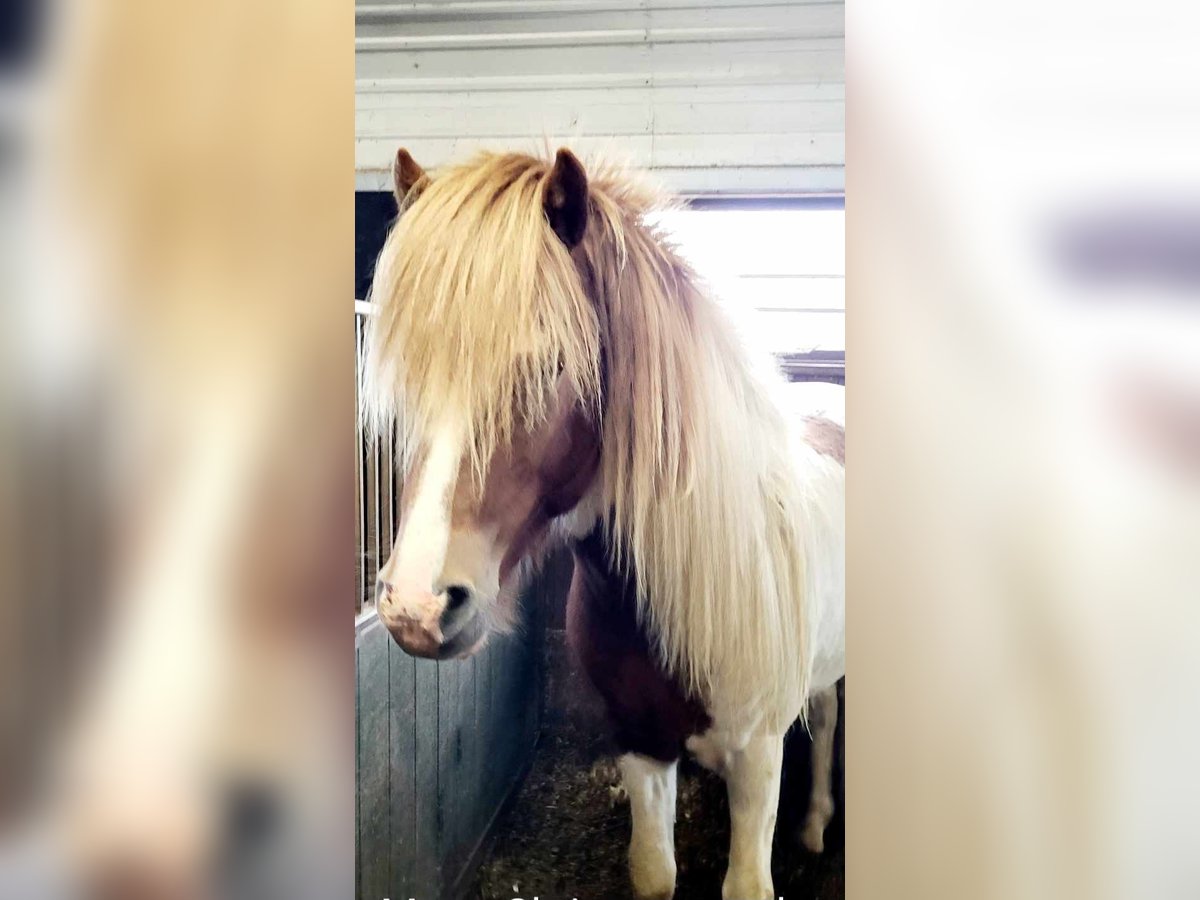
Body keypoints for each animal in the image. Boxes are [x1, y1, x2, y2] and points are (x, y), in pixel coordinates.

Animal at [360, 146, 849, 900]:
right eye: (408, 374)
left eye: (552, 363)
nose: (417, 606)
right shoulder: (639, 742)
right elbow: (653, 873)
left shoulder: (759, 754)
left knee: (824, 718)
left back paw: (818, 824)